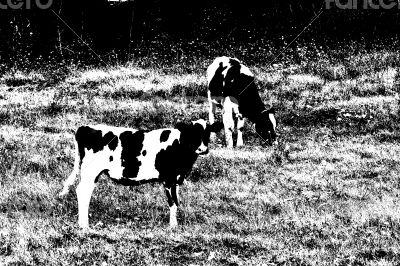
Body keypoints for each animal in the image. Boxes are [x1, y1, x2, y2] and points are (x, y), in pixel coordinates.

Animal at [58, 119, 222, 228]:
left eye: (207, 133)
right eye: (192, 133)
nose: (203, 149)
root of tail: (85, 127)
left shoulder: (176, 179)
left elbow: (177, 201)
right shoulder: (168, 179)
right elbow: (172, 202)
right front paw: (173, 226)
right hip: (91, 172)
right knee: (82, 192)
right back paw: (84, 224)